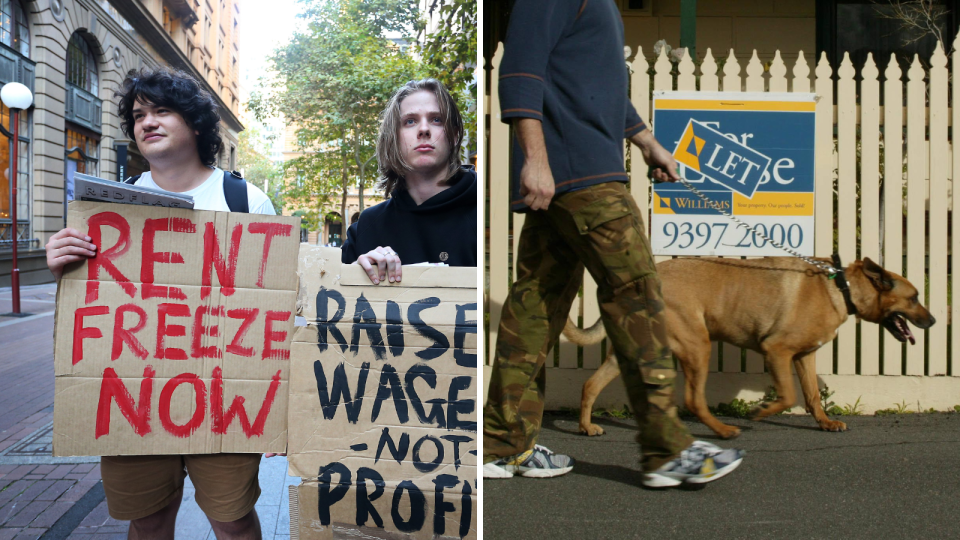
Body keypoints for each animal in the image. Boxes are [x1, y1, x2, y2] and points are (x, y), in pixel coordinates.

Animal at [568, 258, 932, 438]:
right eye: (914, 297)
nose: (934, 321)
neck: (843, 288)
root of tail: (643, 279)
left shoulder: (804, 356)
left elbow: (812, 396)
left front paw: (825, 423)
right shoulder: (776, 351)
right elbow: (787, 395)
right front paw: (760, 411)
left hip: (634, 351)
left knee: (590, 384)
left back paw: (586, 426)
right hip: (697, 346)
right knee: (693, 400)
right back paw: (722, 430)